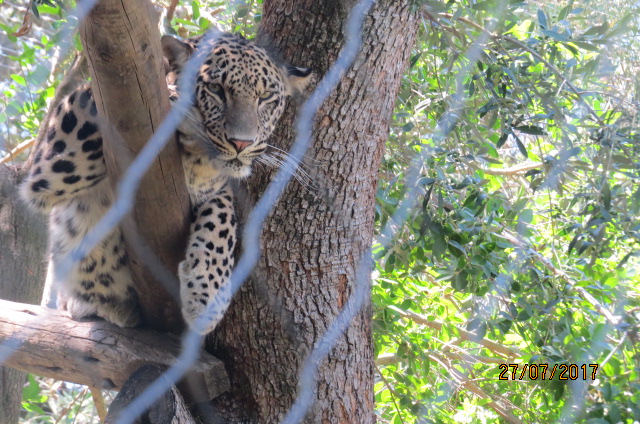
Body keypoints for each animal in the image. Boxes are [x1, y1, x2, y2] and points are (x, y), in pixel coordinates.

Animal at [20, 32, 312, 334]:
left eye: (265, 97)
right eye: (216, 89)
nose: (241, 143)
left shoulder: (216, 191)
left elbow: (223, 223)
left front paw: (207, 296)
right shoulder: (46, 175)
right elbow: (87, 97)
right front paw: (175, 98)